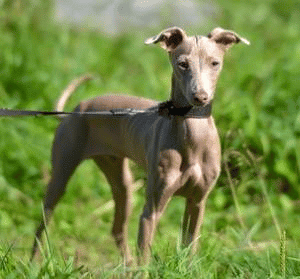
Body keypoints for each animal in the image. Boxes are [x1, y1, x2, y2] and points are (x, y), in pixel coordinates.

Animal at [31, 27, 250, 266]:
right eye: (182, 64)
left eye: (215, 63)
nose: (199, 97)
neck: (193, 136)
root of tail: (76, 110)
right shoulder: (151, 210)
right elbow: (145, 258)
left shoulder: (197, 202)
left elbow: (189, 247)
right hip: (61, 175)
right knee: (42, 224)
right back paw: (33, 264)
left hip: (121, 181)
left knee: (117, 228)